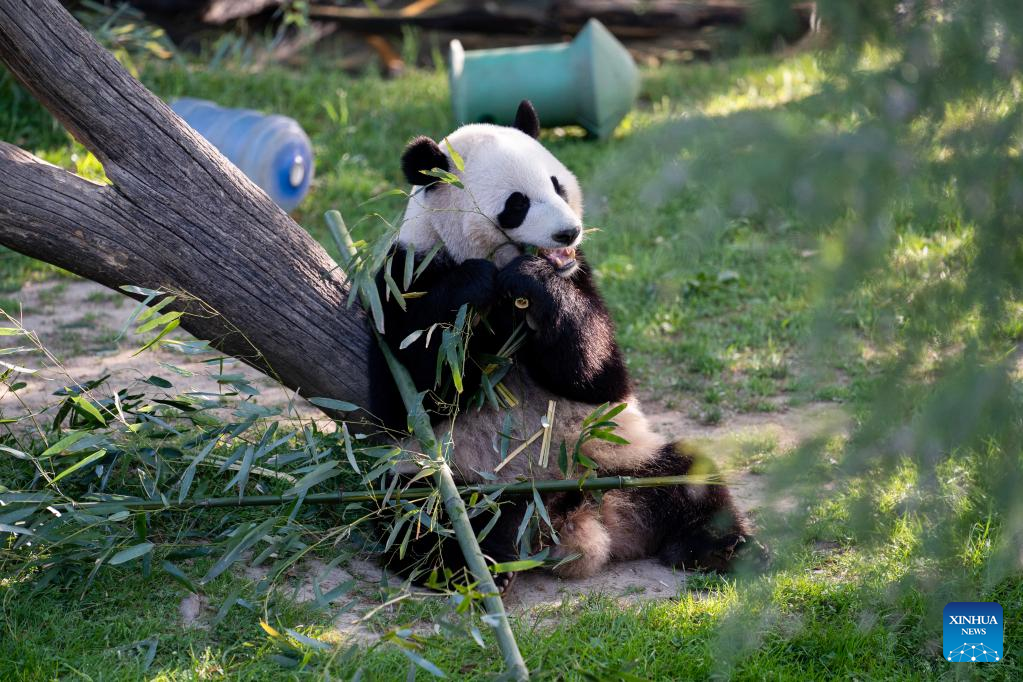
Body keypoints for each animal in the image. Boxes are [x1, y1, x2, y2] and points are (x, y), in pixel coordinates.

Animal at [372, 101, 765, 593]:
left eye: (557, 184)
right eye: (517, 204)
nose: (569, 233)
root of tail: (575, 515)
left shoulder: (582, 277)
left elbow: (597, 374)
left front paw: (536, 283)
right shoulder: (402, 277)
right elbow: (412, 388)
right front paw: (472, 286)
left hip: (621, 456)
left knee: (688, 476)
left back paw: (723, 547)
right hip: (451, 475)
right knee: (426, 519)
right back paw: (474, 566)